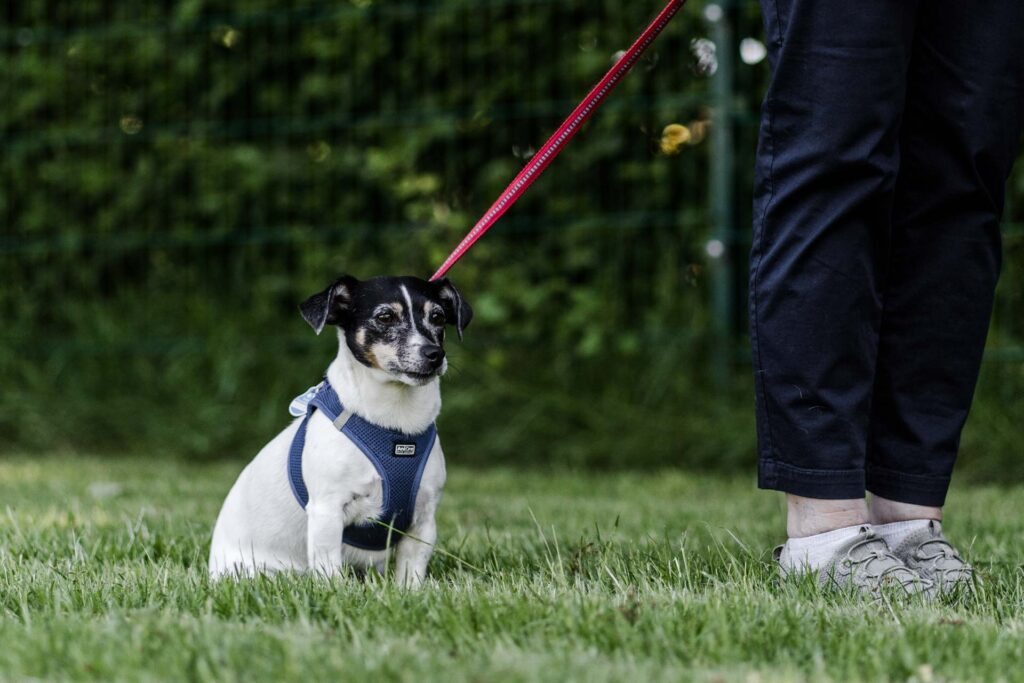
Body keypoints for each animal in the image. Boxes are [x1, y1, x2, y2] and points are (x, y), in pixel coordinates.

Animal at [212, 274, 475, 589]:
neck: (395, 425)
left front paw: (409, 593)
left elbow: (411, 572)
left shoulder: (422, 520)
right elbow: (329, 569)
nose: (435, 354)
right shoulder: (327, 511)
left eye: (437, 317)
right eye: (385, 317)